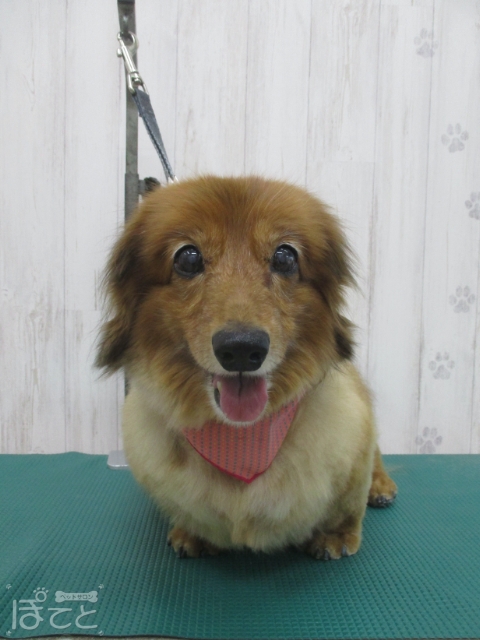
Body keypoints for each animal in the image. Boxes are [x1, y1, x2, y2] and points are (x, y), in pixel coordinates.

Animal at [97, 176, 397, 560]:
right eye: (188, 258)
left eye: (285, 256)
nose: (241, 349)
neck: (243, 441)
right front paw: (191, 533)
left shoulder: (352, 445)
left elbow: (346, 509)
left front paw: (336, 536)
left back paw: (381, 486)